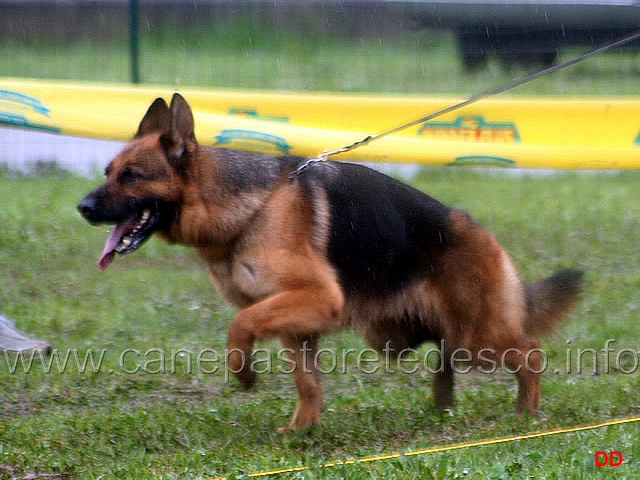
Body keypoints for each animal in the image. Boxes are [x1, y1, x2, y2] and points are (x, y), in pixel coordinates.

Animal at [77, 94, 584, 432]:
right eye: (107, 172)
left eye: (132, 176)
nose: (82, 207)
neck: (249, 210)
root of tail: (481, 233)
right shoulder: (296, 323)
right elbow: (308, 383)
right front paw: (302, 430)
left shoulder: (315, 299)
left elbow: (240, 324)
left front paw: (244, 373)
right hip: (426, 337)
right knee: (449, 362)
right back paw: (442, 408)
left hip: (474, 338)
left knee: (531, 353)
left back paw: (526, 413)